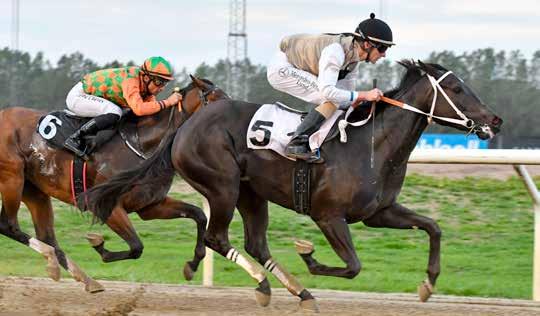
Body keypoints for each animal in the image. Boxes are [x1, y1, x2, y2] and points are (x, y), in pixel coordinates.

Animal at [0, 75, 229, 292]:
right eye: (215, 100)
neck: (142, 145)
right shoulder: (106, 205)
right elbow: (136, 247)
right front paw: (99, 244)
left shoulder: (150, 205)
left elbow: (199, 215)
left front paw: (192, 265)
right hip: (12, 179)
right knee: (8, 225)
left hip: (34, 190)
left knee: (47, 236)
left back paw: (83, 278)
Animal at [84, 60, 502, 310]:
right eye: (458, 89)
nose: (494, 121)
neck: (372, 145)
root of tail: (187, 124)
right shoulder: (328, 215)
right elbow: (353, 266)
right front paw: (310, 255)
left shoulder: (379, 212)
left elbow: (433, 227)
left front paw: (428, 283)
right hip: (223, 186)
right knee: (217, 237)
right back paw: (264, 285)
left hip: (251, 193)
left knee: (254, 243)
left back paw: (297, 291)